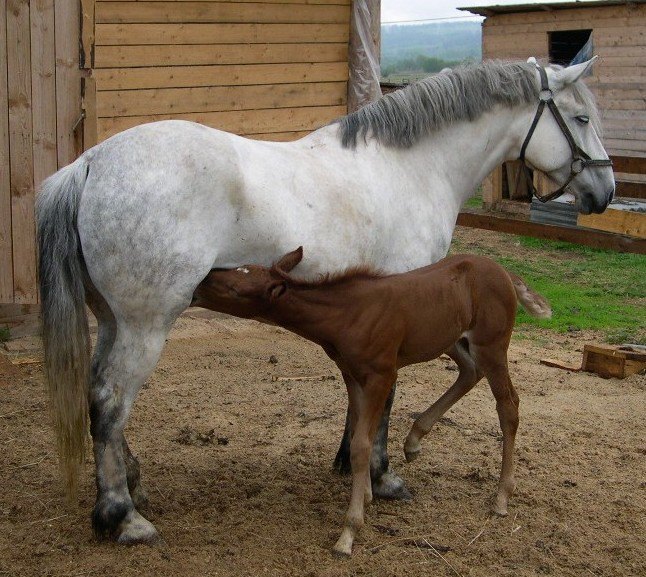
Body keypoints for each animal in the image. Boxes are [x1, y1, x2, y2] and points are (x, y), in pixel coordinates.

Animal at [192, 248, 552, 552]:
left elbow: (363, 443)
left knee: (508, 405)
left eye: (235, 289)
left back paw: (502, 496)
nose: (201, 280)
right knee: (469, 372)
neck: (347, 314)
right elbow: (356, 434)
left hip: (492, 343)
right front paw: (365, 495)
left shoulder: (382, 374)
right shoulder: (352, 375)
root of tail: (505, 272)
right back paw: (414, 440)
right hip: (450, 338)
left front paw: (349, 531)